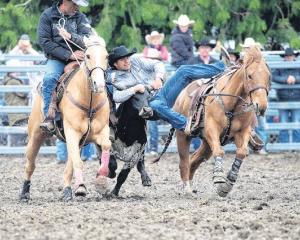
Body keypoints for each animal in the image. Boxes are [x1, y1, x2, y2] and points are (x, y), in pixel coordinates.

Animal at [20, 34, 111, 201]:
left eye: (106, 56)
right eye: (88, 56)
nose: (99, 84)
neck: (88, 100)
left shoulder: (100, 131)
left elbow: (106, 146)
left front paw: (101, 180)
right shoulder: (72, 132)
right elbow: (78, 162)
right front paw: (81, 188)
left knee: (69, 165)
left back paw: (67, 190)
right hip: (36, 135)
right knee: (30, 164)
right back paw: (24, 193)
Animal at [173, 45, 270, 197]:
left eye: (268, 76)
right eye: (249, 76)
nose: (262, 106)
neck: (231, 104)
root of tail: (182, 95)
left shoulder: (243, 131)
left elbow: (242, 152)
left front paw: (228, 184)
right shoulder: (212, 129)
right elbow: (219, 152)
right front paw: (219, 179)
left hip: (206, 144)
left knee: (194, 160)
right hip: (182, 134)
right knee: (184, 161)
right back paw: (187, 188)